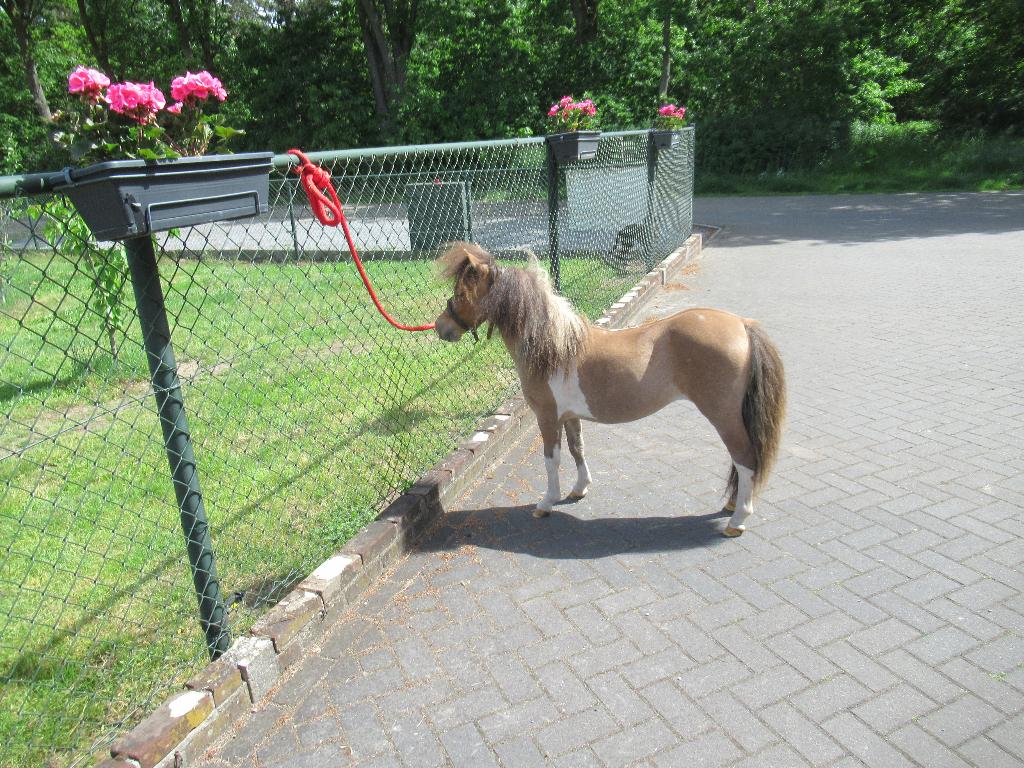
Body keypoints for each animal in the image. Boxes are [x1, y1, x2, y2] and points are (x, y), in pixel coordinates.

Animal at [433, 242, 786, 537]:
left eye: (461, 294)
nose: (440, 327)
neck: (554, 346)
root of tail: (742, 324)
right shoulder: (570, 417)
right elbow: (577, 449)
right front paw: (579, 489)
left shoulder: (547, 418)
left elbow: (552, 460)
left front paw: (546, 503)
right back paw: (732, 505)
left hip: (723, 416)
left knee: (745, 458)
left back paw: (737, 520)